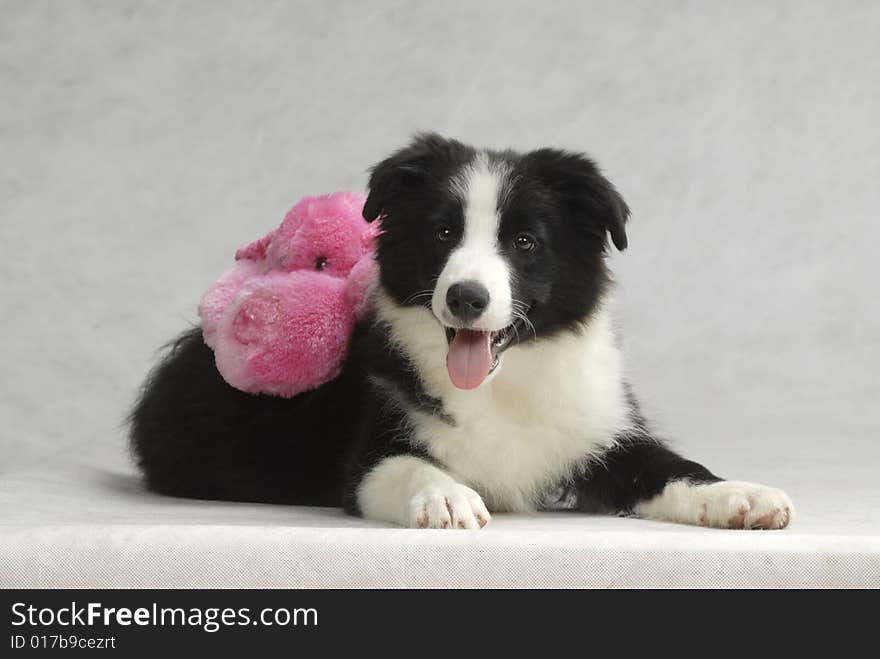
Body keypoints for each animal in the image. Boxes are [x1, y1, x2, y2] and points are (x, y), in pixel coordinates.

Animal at [131, 134, 796, 532]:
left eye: (525, 241)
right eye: (443, 233)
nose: (466, 297)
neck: (502, 388)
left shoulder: (600, 430)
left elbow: (674, 467)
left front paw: (744, 495)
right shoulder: (370, 449)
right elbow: (404, 466)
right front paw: (446, 496)